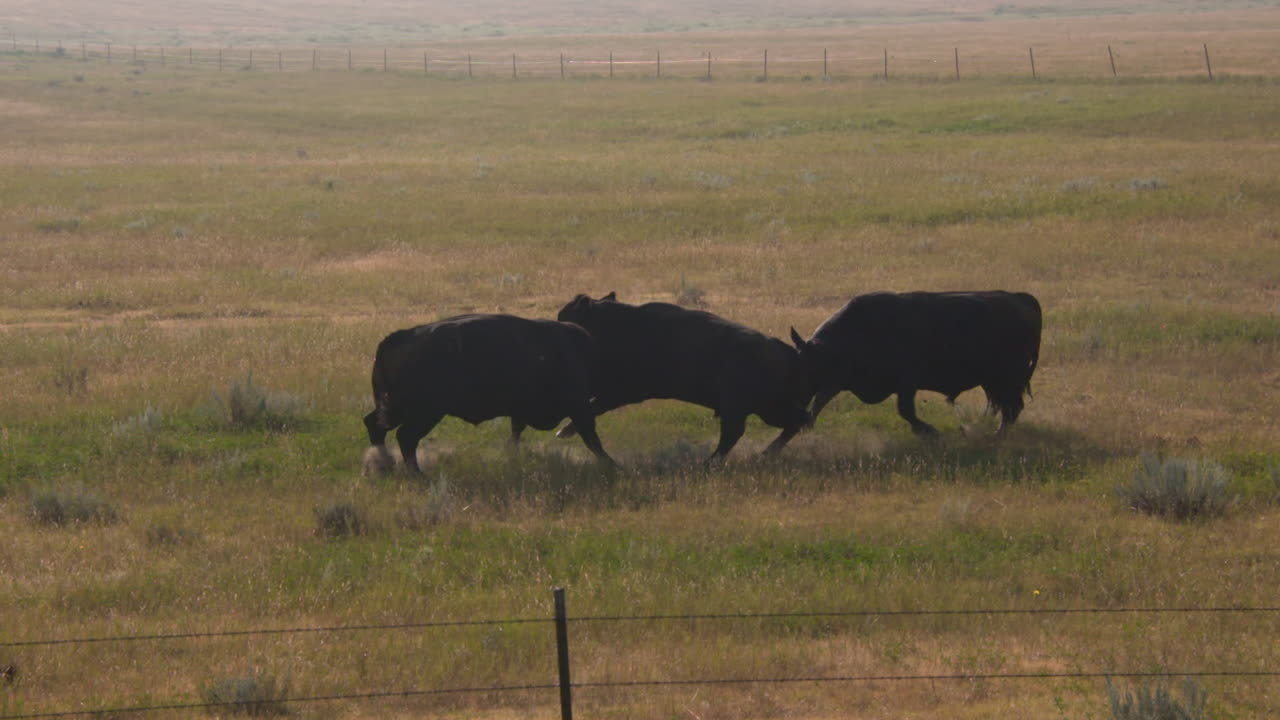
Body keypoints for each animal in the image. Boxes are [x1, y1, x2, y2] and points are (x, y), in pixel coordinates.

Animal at [363, 314, 614, 474]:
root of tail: (396, 338)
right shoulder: (578, 405)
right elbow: (591, 436)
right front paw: (611, 463)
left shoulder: (520, 411)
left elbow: (516, 432)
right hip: (425, 413)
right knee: (405, 437)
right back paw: (416, 473)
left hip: (396, 409)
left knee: (375, 425)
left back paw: (385, 465)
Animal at [556, 292, 811, 461]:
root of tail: (787, 351)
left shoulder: (621, 392)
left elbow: (593, 408)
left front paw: (564, 431)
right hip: (768, 408)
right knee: (797, 421)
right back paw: (764, 453)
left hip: (747, 407)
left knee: (735, 433)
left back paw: (711, 462)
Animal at [789, 291, 1041, 436]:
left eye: (809, 367)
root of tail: (1023, 298)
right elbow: (819, 402)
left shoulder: (906, 384)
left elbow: (905, 410)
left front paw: (928, 431)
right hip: (994, 381)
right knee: (1003, 406)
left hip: (1007, 379)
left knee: (1012, 408)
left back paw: (996, 436)